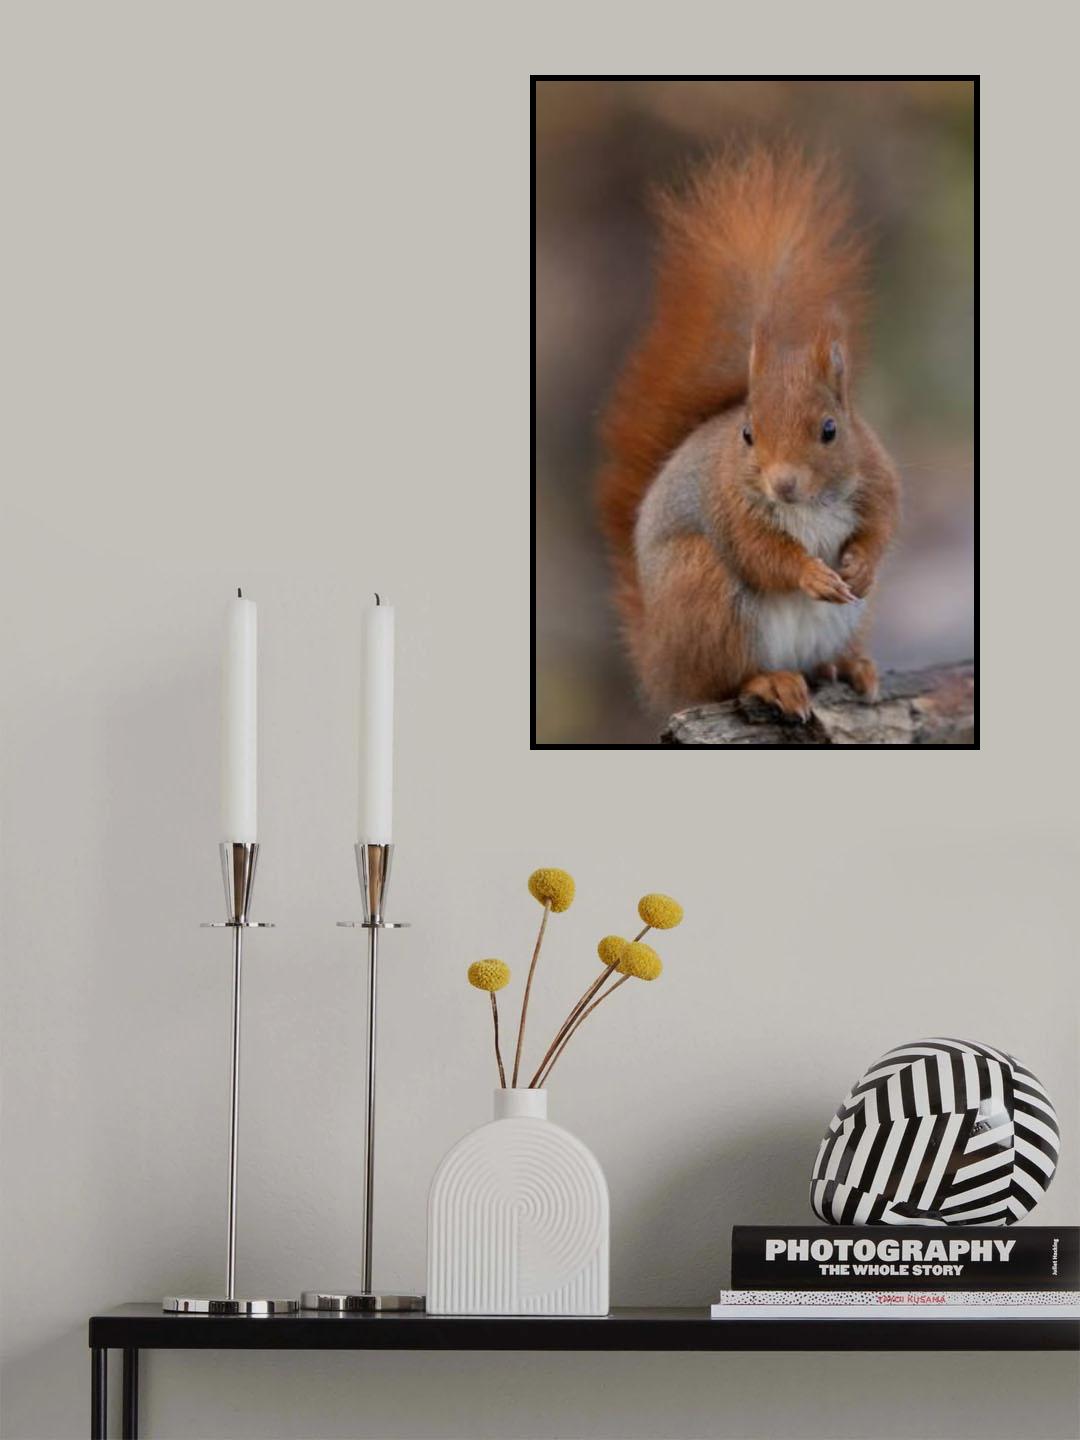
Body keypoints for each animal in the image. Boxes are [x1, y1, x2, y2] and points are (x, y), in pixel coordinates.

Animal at [597, 147, 901, 721]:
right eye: (747, 434)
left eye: (831, 429)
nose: (783, 484)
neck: (810, 506)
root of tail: (661, 666)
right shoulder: (730, 511)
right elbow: (764, 556)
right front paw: (812, 574)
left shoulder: (878, 477)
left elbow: (881, 528)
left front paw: (861, 565)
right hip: (706, 592)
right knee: (725, 680)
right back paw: (772, 682)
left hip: (847, 619)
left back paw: (847, 664)